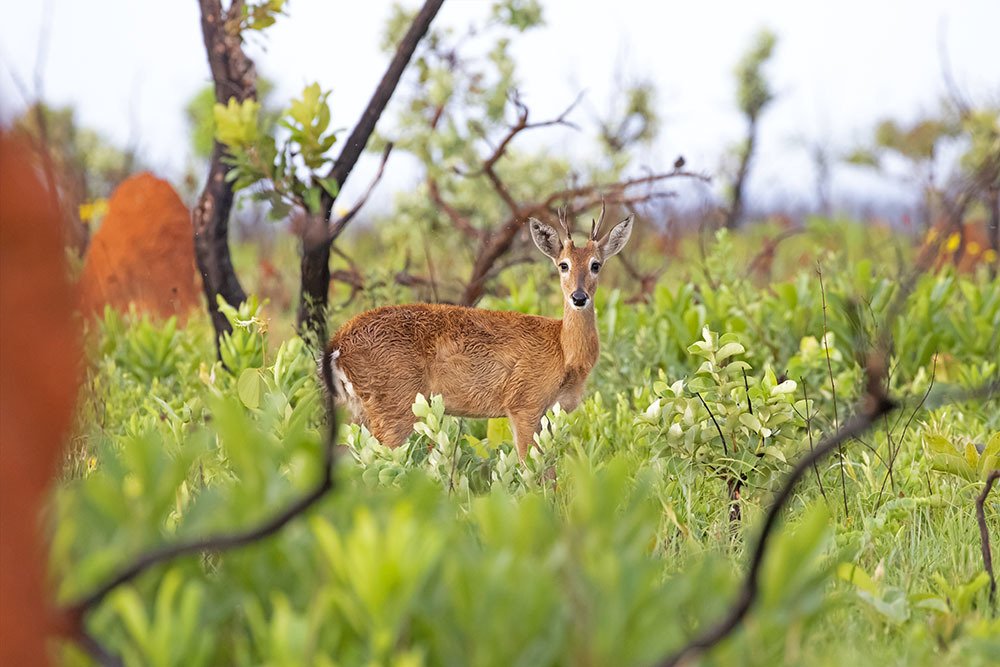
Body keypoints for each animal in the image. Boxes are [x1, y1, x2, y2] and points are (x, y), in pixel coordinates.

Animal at [320, 207, 633, 459]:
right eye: (563, 264)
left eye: (596, 264)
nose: (579, 297)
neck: (563, 350)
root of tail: (337, 345)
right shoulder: (524, 404)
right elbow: (534, 470)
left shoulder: (552, 411)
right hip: (393, 408)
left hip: (357, 411)